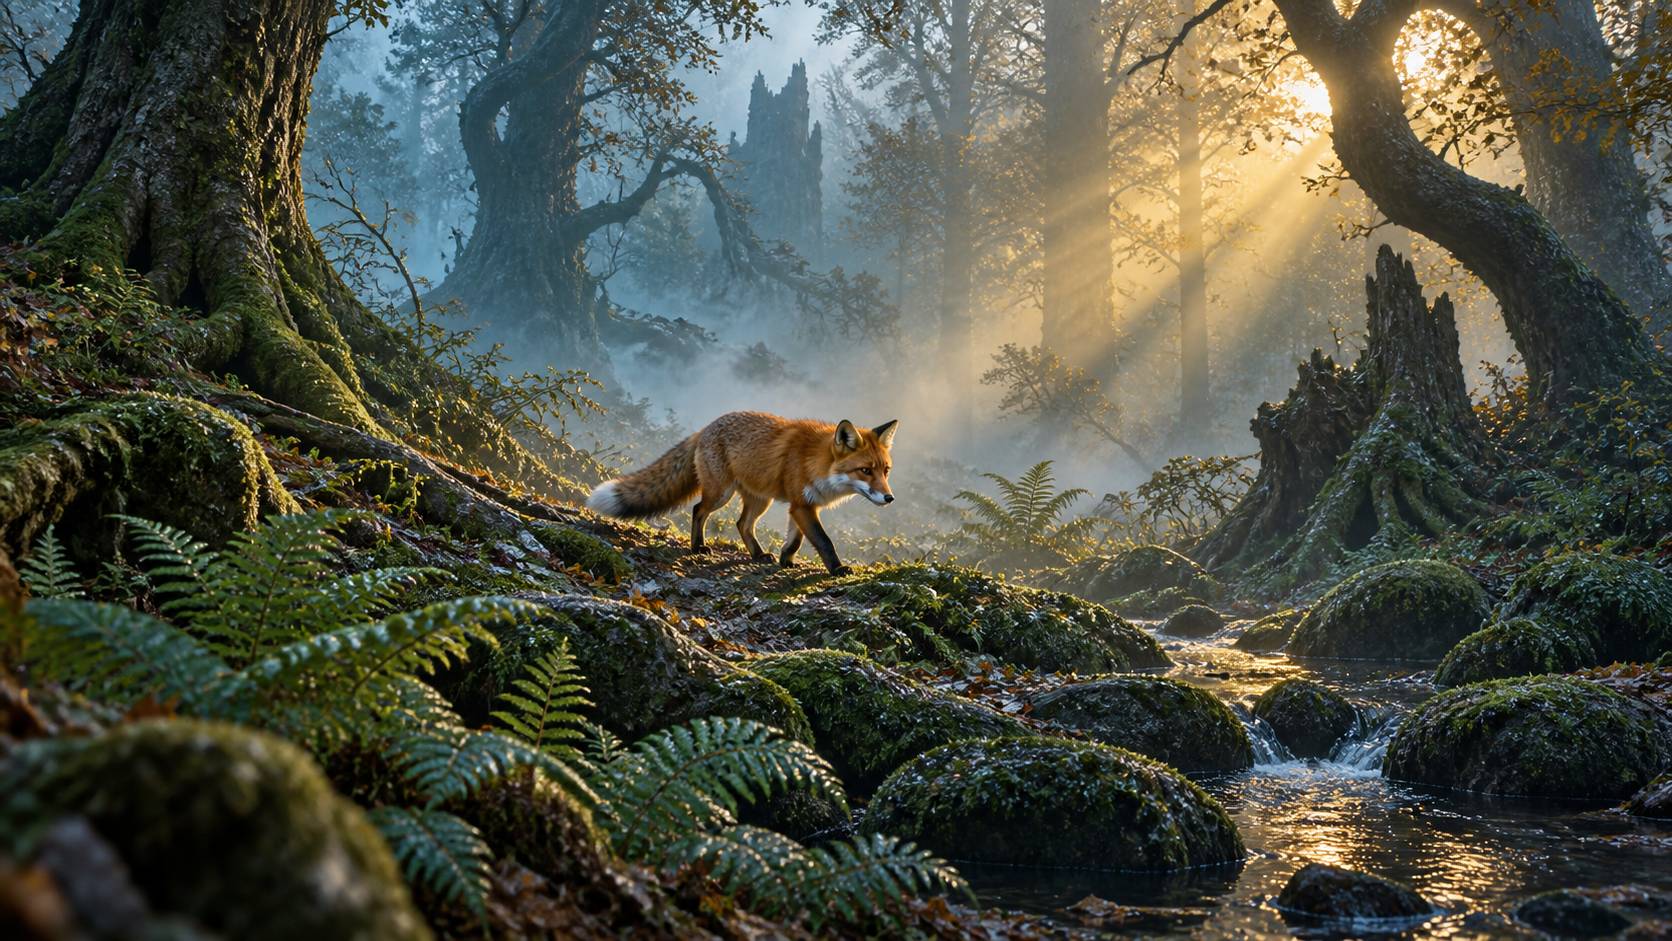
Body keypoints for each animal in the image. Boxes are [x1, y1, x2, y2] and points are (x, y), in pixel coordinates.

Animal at [586, 411, 899, 575]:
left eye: (886, 471)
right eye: (865, 471)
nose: (889, 498)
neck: (817, 462)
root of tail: (705, 428)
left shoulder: (802, 505)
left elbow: (795, 541)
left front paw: (786, 560)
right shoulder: (802, 506)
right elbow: (823, 541)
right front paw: (837, 569)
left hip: (760, 500)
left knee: (742, 524)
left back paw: (758, 554)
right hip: (721, 493)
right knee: (699, 510)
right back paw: (698, 546)